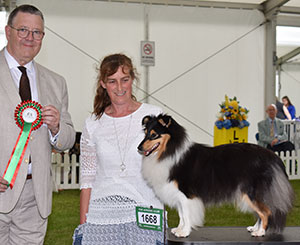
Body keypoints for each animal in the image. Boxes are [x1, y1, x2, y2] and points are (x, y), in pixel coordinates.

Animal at [137, 114, 294, 237]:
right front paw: (179, 229)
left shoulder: (186, 194)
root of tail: (273, 156)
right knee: (261, 211)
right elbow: (182, 214)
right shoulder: (179, 195)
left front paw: (184, 232)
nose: (139, 148)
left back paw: (260, 232)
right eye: (145, 133)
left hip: (252, 192)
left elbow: (186, 214)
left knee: (266, 211)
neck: (169, 151)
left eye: (154, 134)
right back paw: (254, 228)